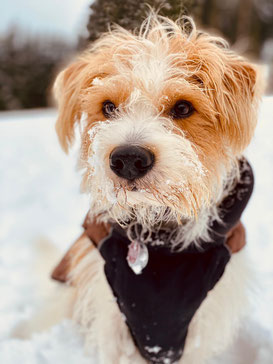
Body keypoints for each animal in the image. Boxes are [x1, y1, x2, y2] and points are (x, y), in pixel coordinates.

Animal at [19, 14, 264, 364]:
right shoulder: (111, 315)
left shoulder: (202, 323)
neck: (158, 232)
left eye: (183, 108)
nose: (128, 159)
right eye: (108, 107)